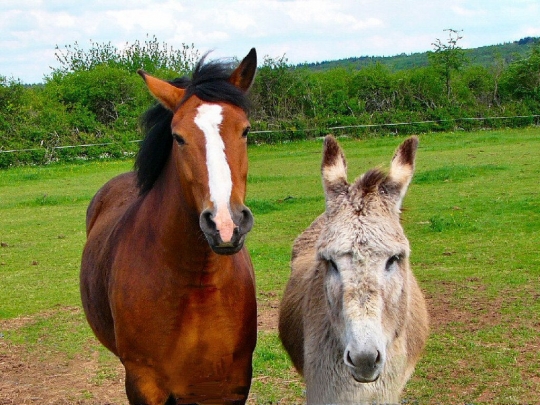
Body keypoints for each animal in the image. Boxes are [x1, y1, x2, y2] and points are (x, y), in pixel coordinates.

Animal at [79, 49, 258, 402]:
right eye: (178, 137)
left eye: (244, 130)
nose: (225, 224)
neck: (197, 286)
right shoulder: (145, 384)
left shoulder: (231, 384)